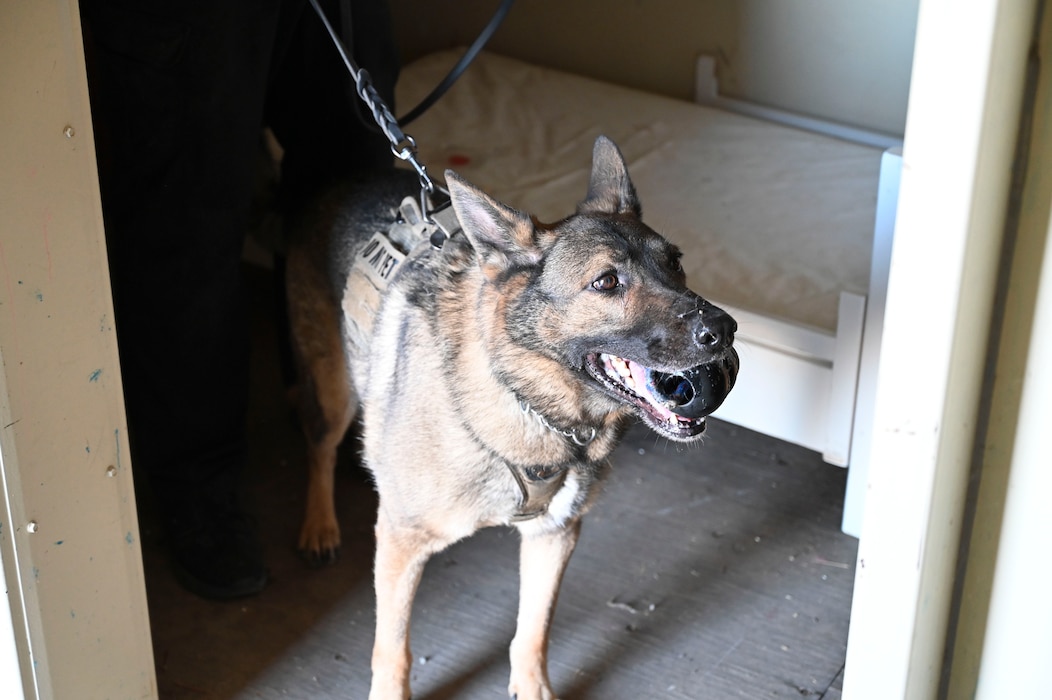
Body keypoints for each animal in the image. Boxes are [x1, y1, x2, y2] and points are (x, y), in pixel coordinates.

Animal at [284, 137, 736, 698]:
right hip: (334, 392)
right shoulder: (400, 541)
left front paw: (532, 685)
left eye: (675, 264)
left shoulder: (555, 535)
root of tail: (335, 183)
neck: (528, 401)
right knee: (319, 444)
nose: (726, 329)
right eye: (607, 282)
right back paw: (320, 525)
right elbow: (392, 649)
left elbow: (534, 629)